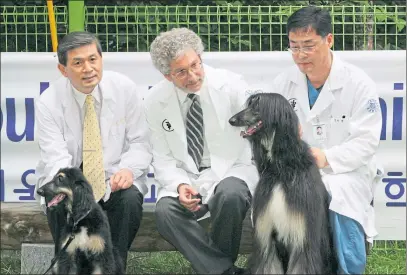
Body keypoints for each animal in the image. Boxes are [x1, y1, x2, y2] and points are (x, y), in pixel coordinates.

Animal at [230, 94, 338, 274]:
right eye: (250, 104)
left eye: (258, 105)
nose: (232, 120)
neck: (281, 170)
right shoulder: (267, 238)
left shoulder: (303, 239)